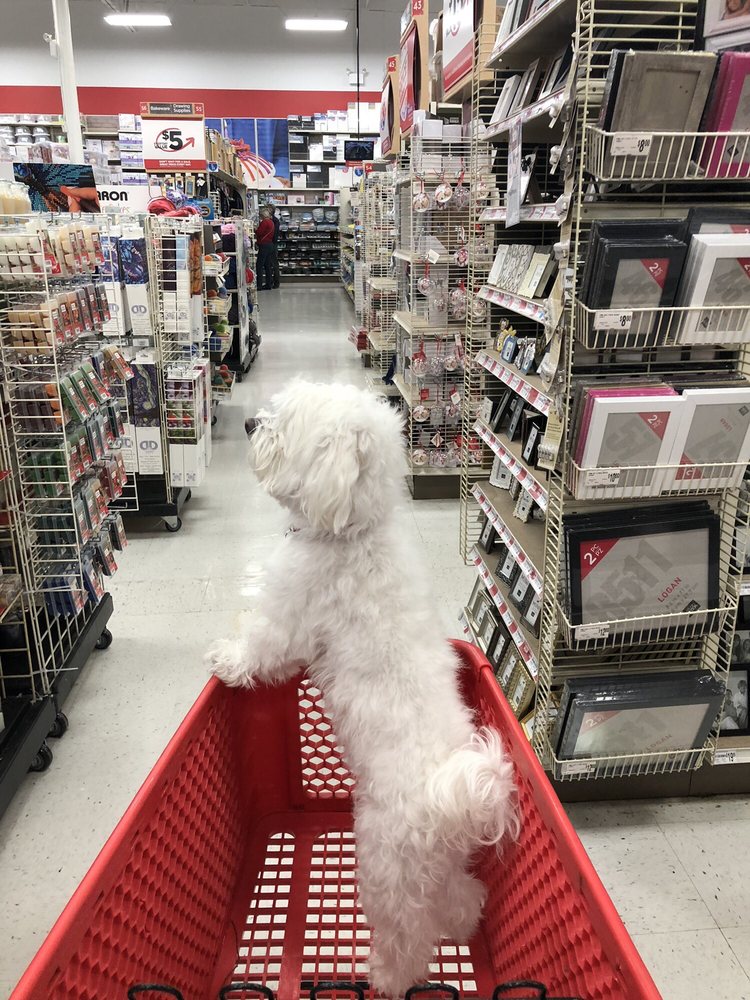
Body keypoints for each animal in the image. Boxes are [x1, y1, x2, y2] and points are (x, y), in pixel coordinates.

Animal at [207, 379, 519, 997]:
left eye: (288, 423)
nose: (251, 423)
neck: (353, 530)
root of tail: (454, 799)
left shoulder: (292, 613)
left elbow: (261, 643)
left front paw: (227, 659)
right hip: (436, 870)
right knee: (460, 898)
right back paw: (463, 921)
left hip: (383, 866)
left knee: (407, 941)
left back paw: (385, 977)